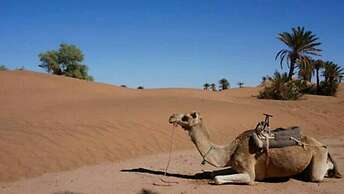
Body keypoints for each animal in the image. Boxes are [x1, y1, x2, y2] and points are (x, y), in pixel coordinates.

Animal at [167, 111, 342, 184]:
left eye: (186, 117)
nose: (171, 117)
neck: (230, 151)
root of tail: (322, 145)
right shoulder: (236, 164)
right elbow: (212, 173)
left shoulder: (249, 173)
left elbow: (217, 178)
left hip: (318, 155)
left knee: (317, 176)